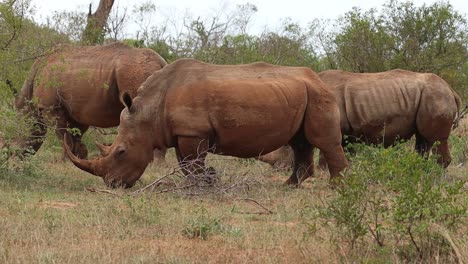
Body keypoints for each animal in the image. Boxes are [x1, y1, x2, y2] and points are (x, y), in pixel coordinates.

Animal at [12, 42, 168, 160]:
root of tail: (161, 62)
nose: (15, 155)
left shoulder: (50, 106)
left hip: (136, 71)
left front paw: (65, 162)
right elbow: (74, 136)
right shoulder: (77, 111)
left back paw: (154, 164)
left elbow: (63, 135)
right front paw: (77, 159)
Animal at [63, 58, 348, 189]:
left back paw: (336, 187)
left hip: (319, 95)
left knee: (323, 141)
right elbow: (185, 163)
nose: (112, 184)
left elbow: (192, 162)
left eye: (121, 152)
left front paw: (205, 183)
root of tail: (318, 78)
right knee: (300, 142)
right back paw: (289, 186)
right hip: (304, 94)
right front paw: (202, 183)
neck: (149, 111)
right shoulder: (181, 132)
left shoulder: (193, 131)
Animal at [260, 69, 460, 169]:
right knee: (423, 140)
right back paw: (419, 171)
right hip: (431, 97)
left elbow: (328, 150)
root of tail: (451, 89)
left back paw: (434, 175)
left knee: (436, 139)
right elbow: (344, 151)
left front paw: (324, 170)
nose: (279, 168)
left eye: (287, 146)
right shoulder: (347, 132)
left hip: (436, 96)